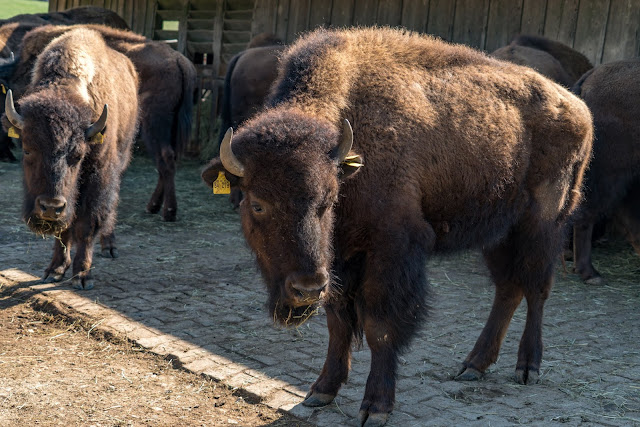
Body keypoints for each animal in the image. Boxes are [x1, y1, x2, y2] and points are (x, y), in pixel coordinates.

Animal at [3, 26, 139, 290]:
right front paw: (54, 270)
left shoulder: (98, 177)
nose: (50, 207)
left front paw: (82, 276)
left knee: (111, 202)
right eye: (27, 149)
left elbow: (87, 224)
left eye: (78, 155)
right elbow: (64, 228)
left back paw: (109, 246)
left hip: (122, 158)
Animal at [202, 28, 592, 426]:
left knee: (537, 287)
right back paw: (473, 365)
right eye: (257, 203)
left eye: (329, 199)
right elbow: (338, 322)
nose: (306, 289)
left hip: (544, 224)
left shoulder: (391, 250)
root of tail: (578, 106)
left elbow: (381, 327)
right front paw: (321, 391)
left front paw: (376, 407)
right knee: (508, 289)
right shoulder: (340, 261)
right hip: (498, 231)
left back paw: (528, 367)